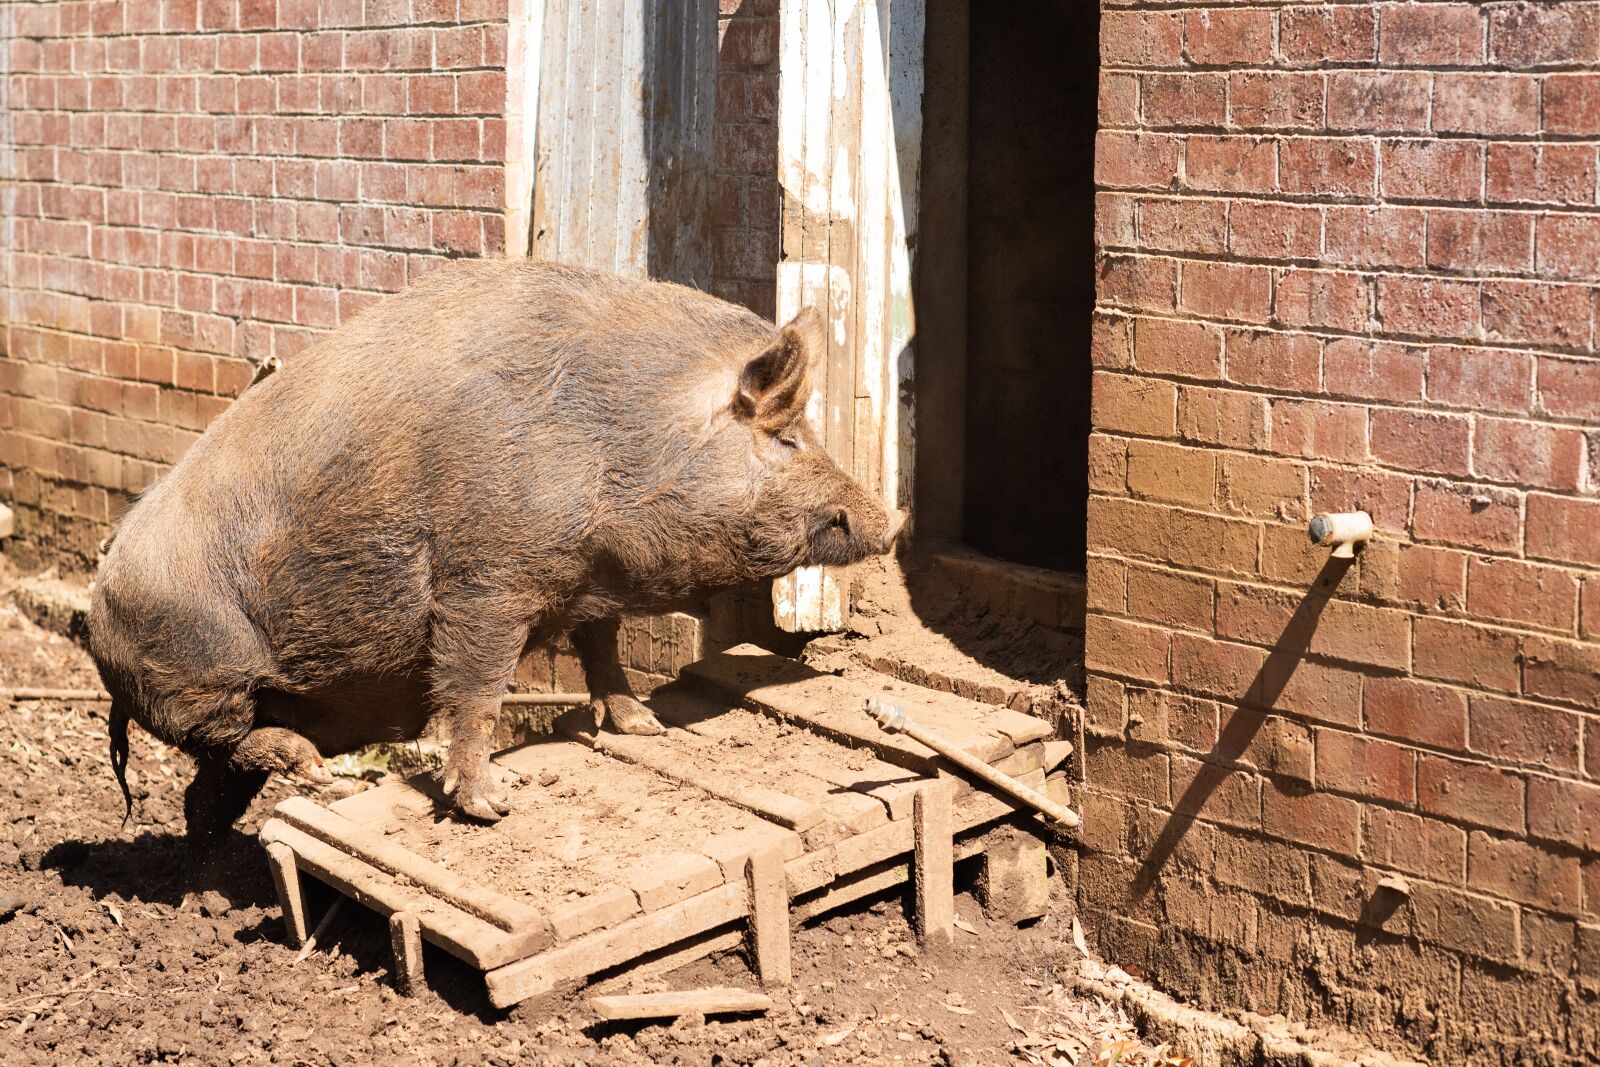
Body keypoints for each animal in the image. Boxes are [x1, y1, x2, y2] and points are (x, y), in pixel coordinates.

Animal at [86, 260, 901, 842]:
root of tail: (94, 608)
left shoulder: (585, 579)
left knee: (206, 786)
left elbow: (601, 646)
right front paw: (488, 808)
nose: (890, 522)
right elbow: (476, 688)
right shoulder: (484, 581)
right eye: (786, 436)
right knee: (227, 738)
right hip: (195, 671)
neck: (619, 438)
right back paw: (314, 772)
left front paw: (645, 726)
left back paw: (219, 849)